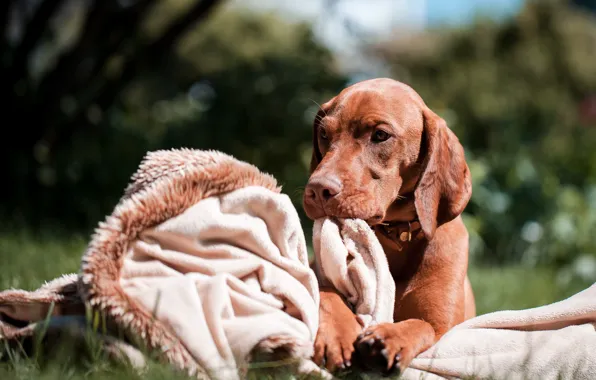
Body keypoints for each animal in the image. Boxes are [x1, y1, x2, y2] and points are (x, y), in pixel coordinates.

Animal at [302, 76, 474, 374]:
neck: (398, 238)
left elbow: (421, 325)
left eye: (380, 135)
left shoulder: (444, 327)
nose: (317, 190)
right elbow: (325, 293)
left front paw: (392, 337)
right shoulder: (320, 275)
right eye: (324, 134)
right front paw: (338, 333)